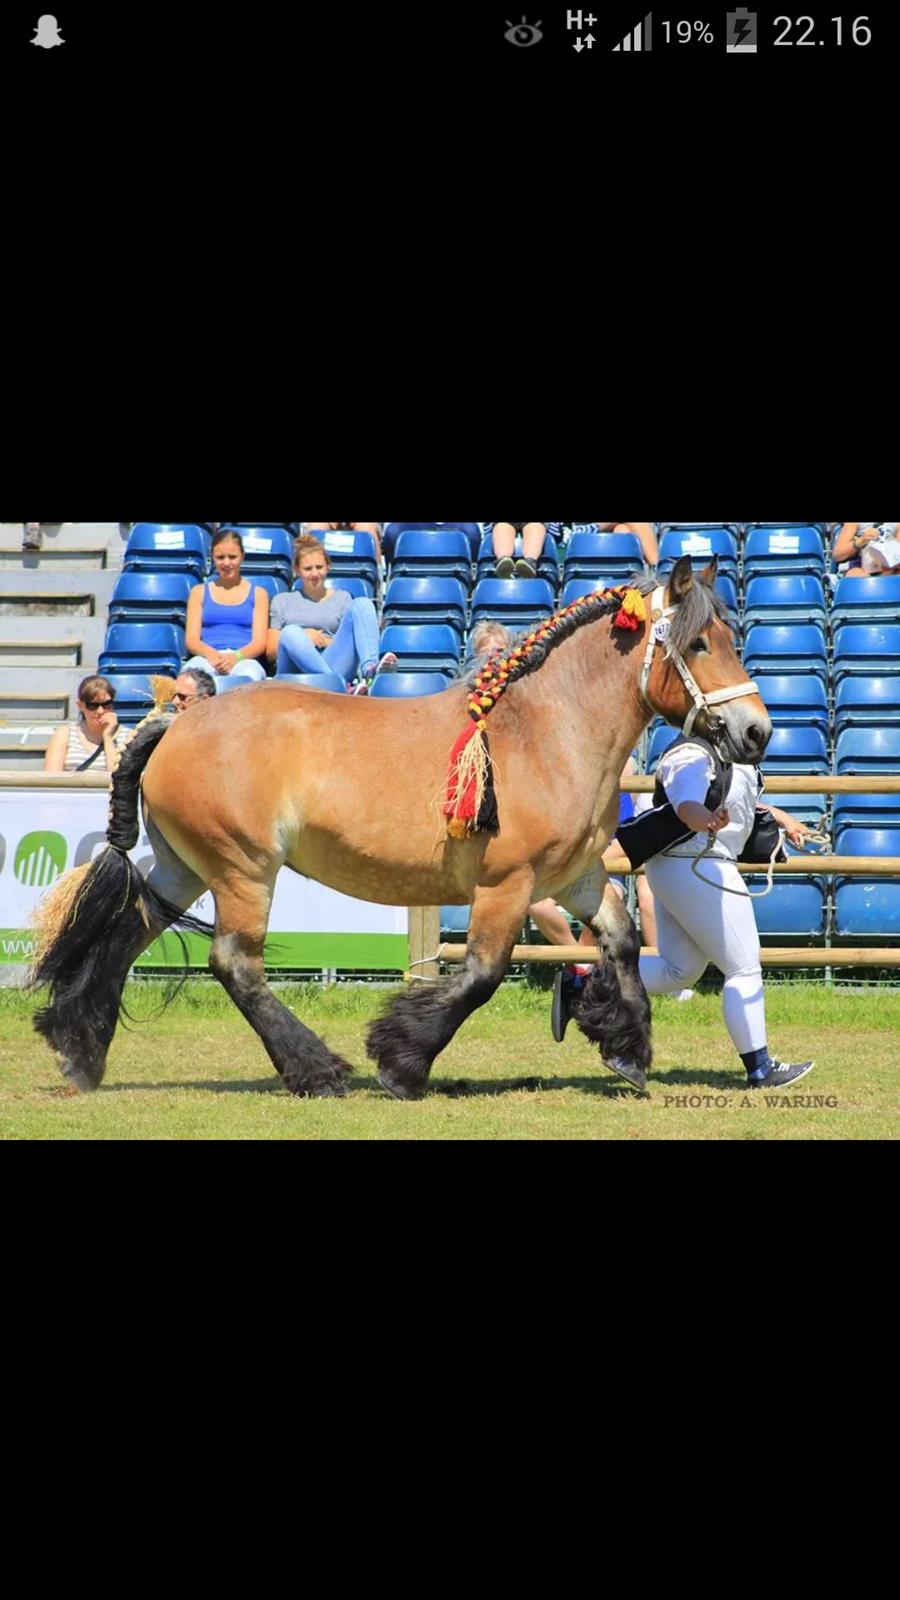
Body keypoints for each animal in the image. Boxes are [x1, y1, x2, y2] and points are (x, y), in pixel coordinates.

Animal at [29, 560, 771, 1100]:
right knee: (234, 963)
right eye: (698, 643)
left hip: (185, 869)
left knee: (124, 936)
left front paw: (627, 1049)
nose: (757, 732)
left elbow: (621, 942)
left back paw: (79, 1052)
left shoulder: (577, 878)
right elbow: (481, 975)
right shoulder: (507, 885)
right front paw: (401, 1063)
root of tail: (175, 721)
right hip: (243, 870)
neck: (543, 733)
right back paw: (316, 1071)